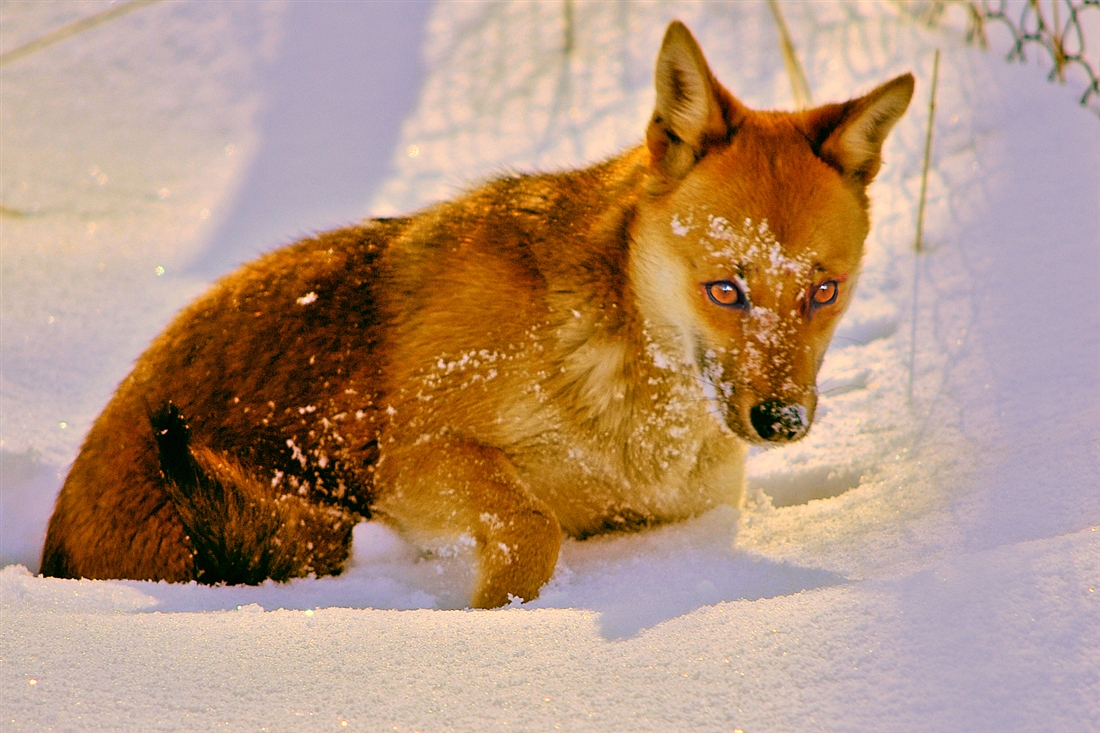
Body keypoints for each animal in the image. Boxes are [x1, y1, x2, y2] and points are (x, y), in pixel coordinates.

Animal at [40, 21, 910, 603]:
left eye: (824, 291)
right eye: (725, 289)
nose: (782, 421)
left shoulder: (687, 512)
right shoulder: (415, 457)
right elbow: (533, 527)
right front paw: (496, 614)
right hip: (307, 523)